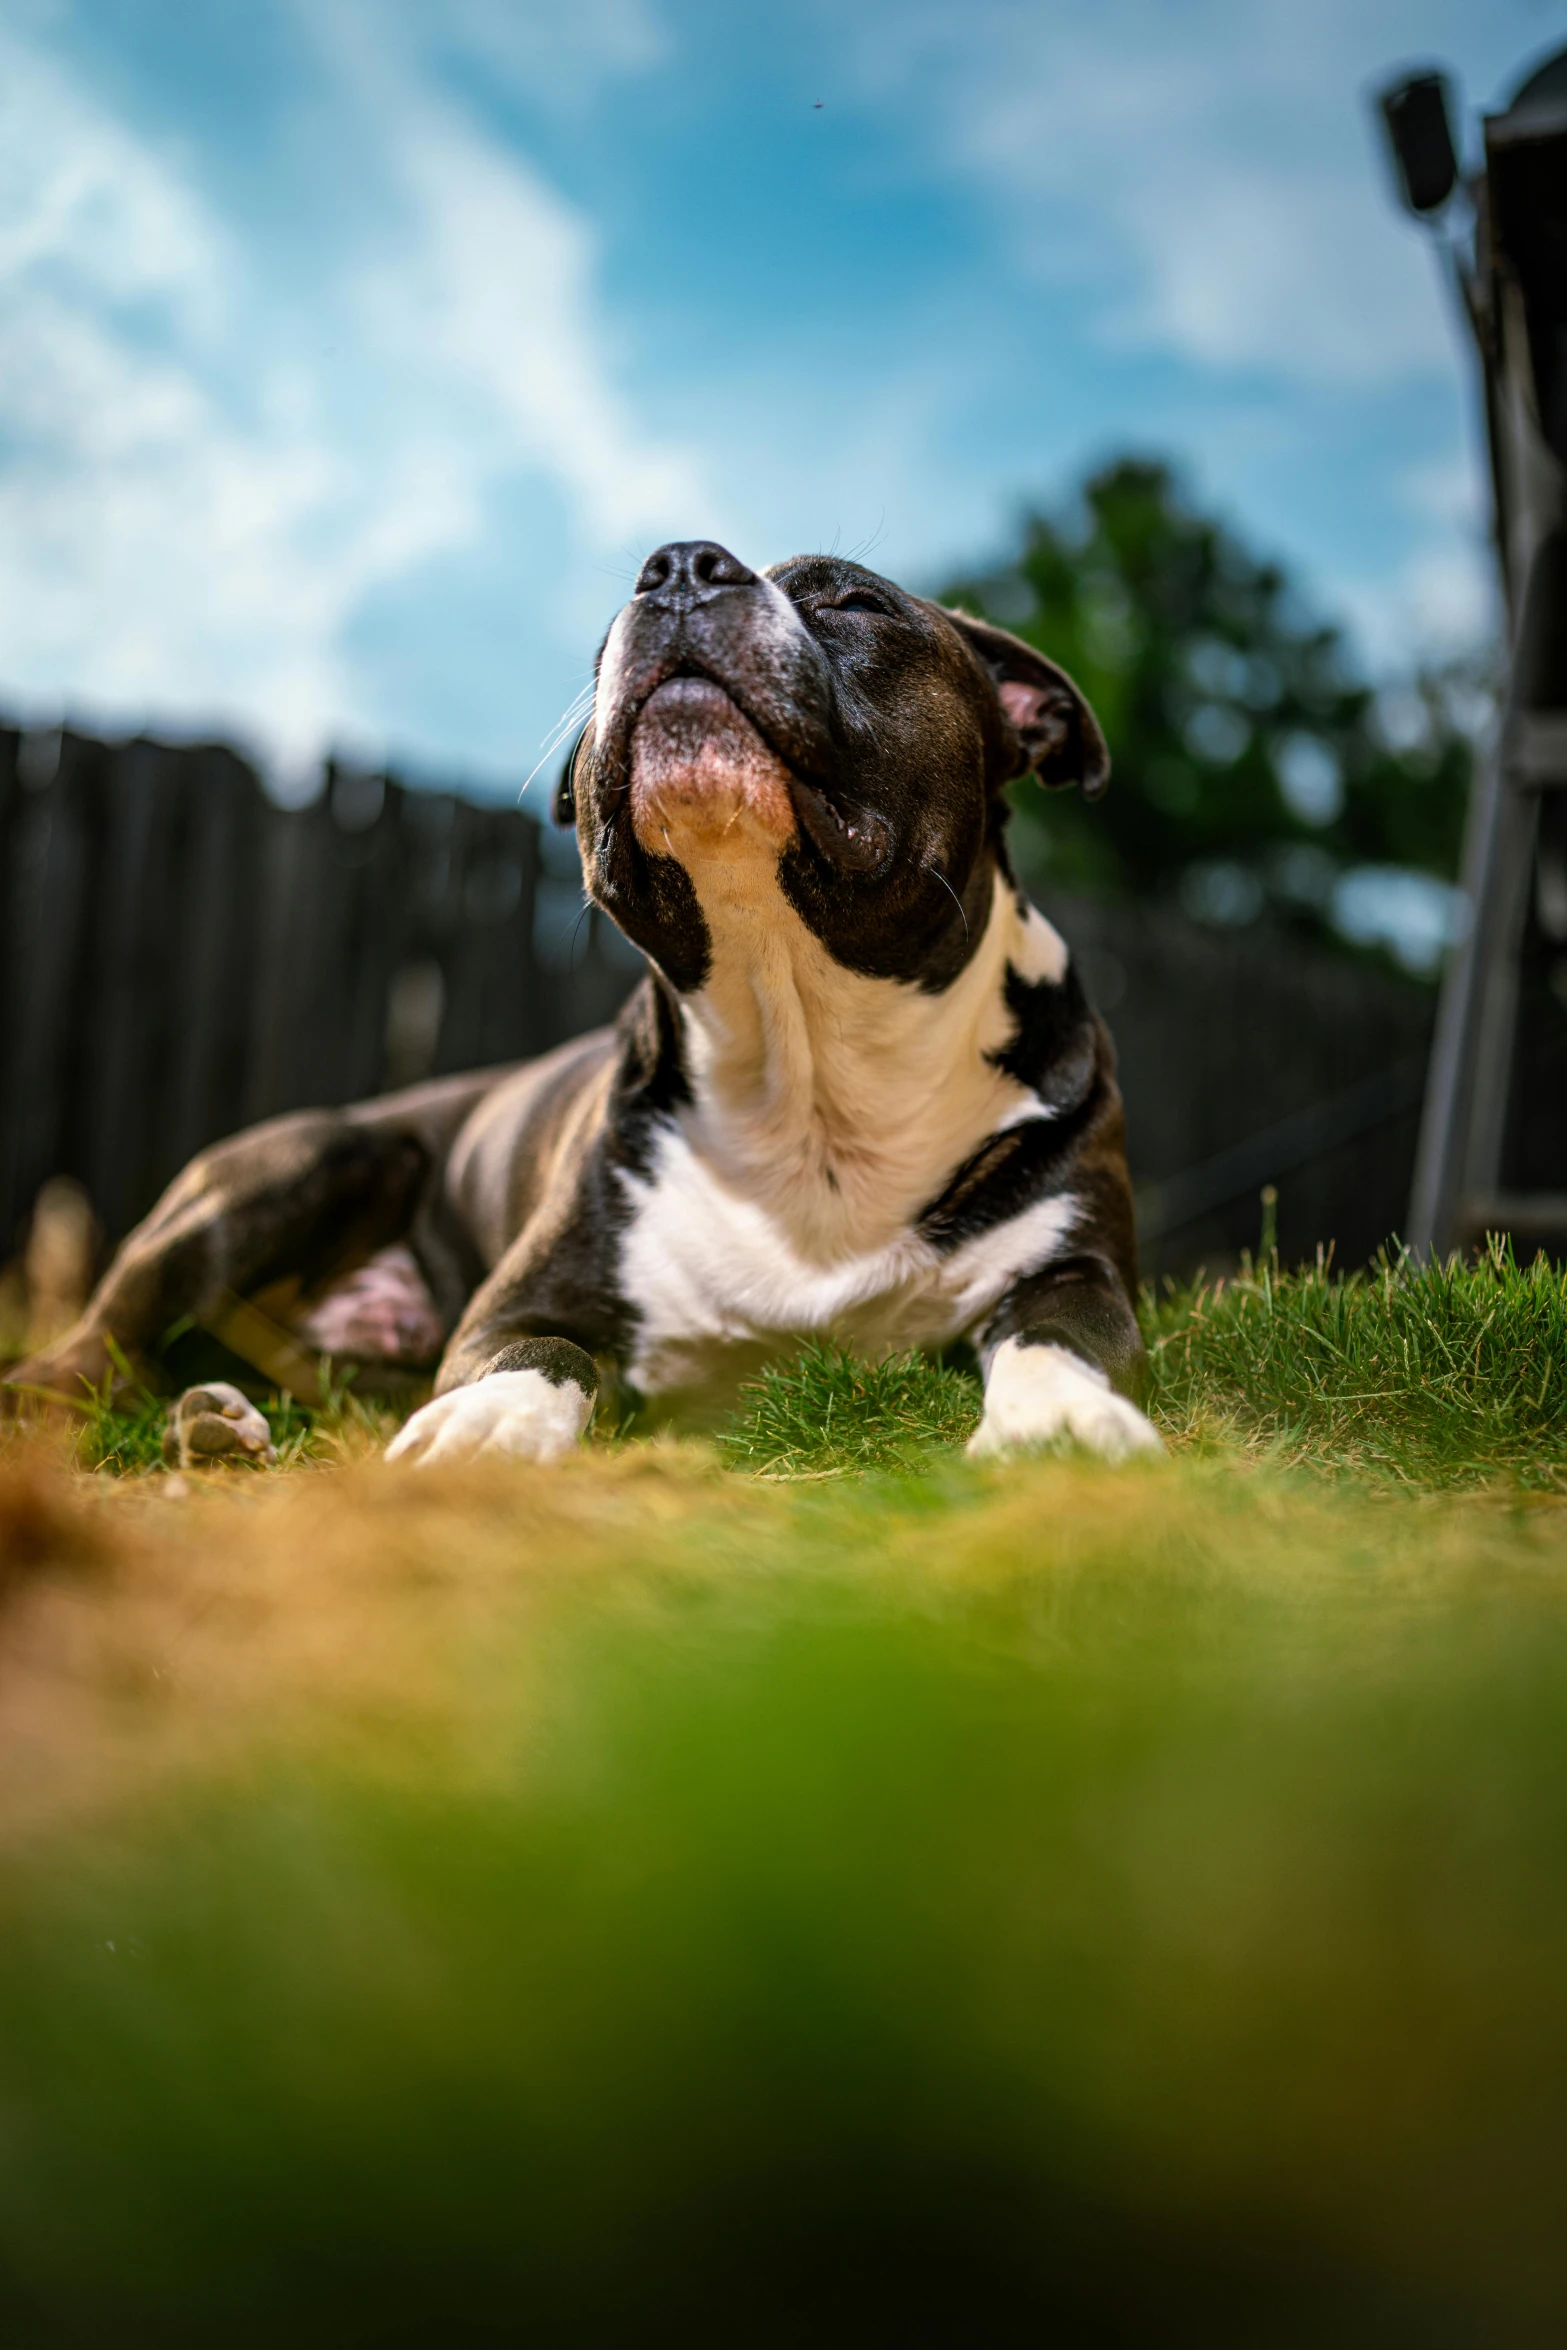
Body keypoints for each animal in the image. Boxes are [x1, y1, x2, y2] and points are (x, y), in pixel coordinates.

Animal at [9, 545, 1165, 1466]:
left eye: (854, 601)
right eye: (605, 634)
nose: (681, 565)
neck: (809, 1068)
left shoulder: (1078, 1270)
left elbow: (1054, 1338)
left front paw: (1060, 1423)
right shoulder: (510, 1311)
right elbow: (542, 1348)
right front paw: (489, 1422)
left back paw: (212, 1416)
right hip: (303, 1165)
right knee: (91, 1358)